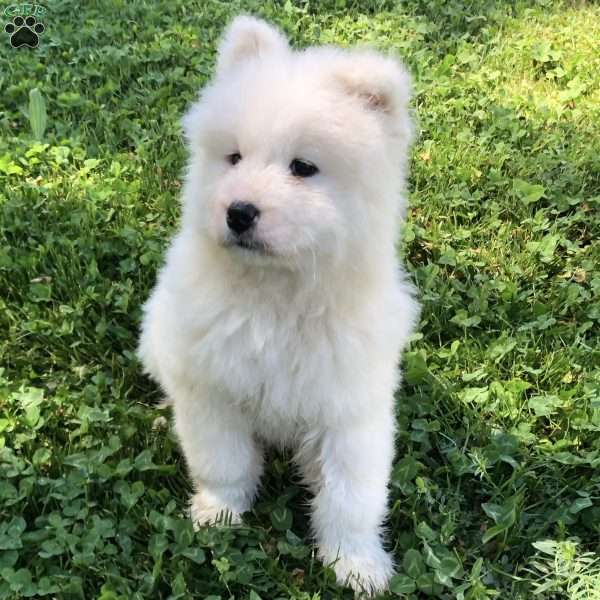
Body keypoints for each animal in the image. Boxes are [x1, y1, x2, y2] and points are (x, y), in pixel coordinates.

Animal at [140, 16, 420, 592]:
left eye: (303, 167)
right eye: (234, 157)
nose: (238, 211)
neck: (277, 294)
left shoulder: (350, 410)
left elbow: (350, 497)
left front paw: (356, 563)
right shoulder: (213, 391)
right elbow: (222, 462)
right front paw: (219, 514)